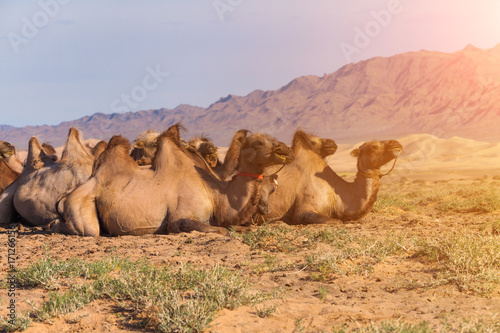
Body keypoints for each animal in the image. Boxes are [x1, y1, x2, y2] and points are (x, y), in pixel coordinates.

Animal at [52, 124, 294, 236]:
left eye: (273, 190)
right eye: (257, 143)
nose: (286, 150)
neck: (215, 193)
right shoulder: (179, 219)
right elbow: (220, 230)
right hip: (82, 210)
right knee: (86, 230)